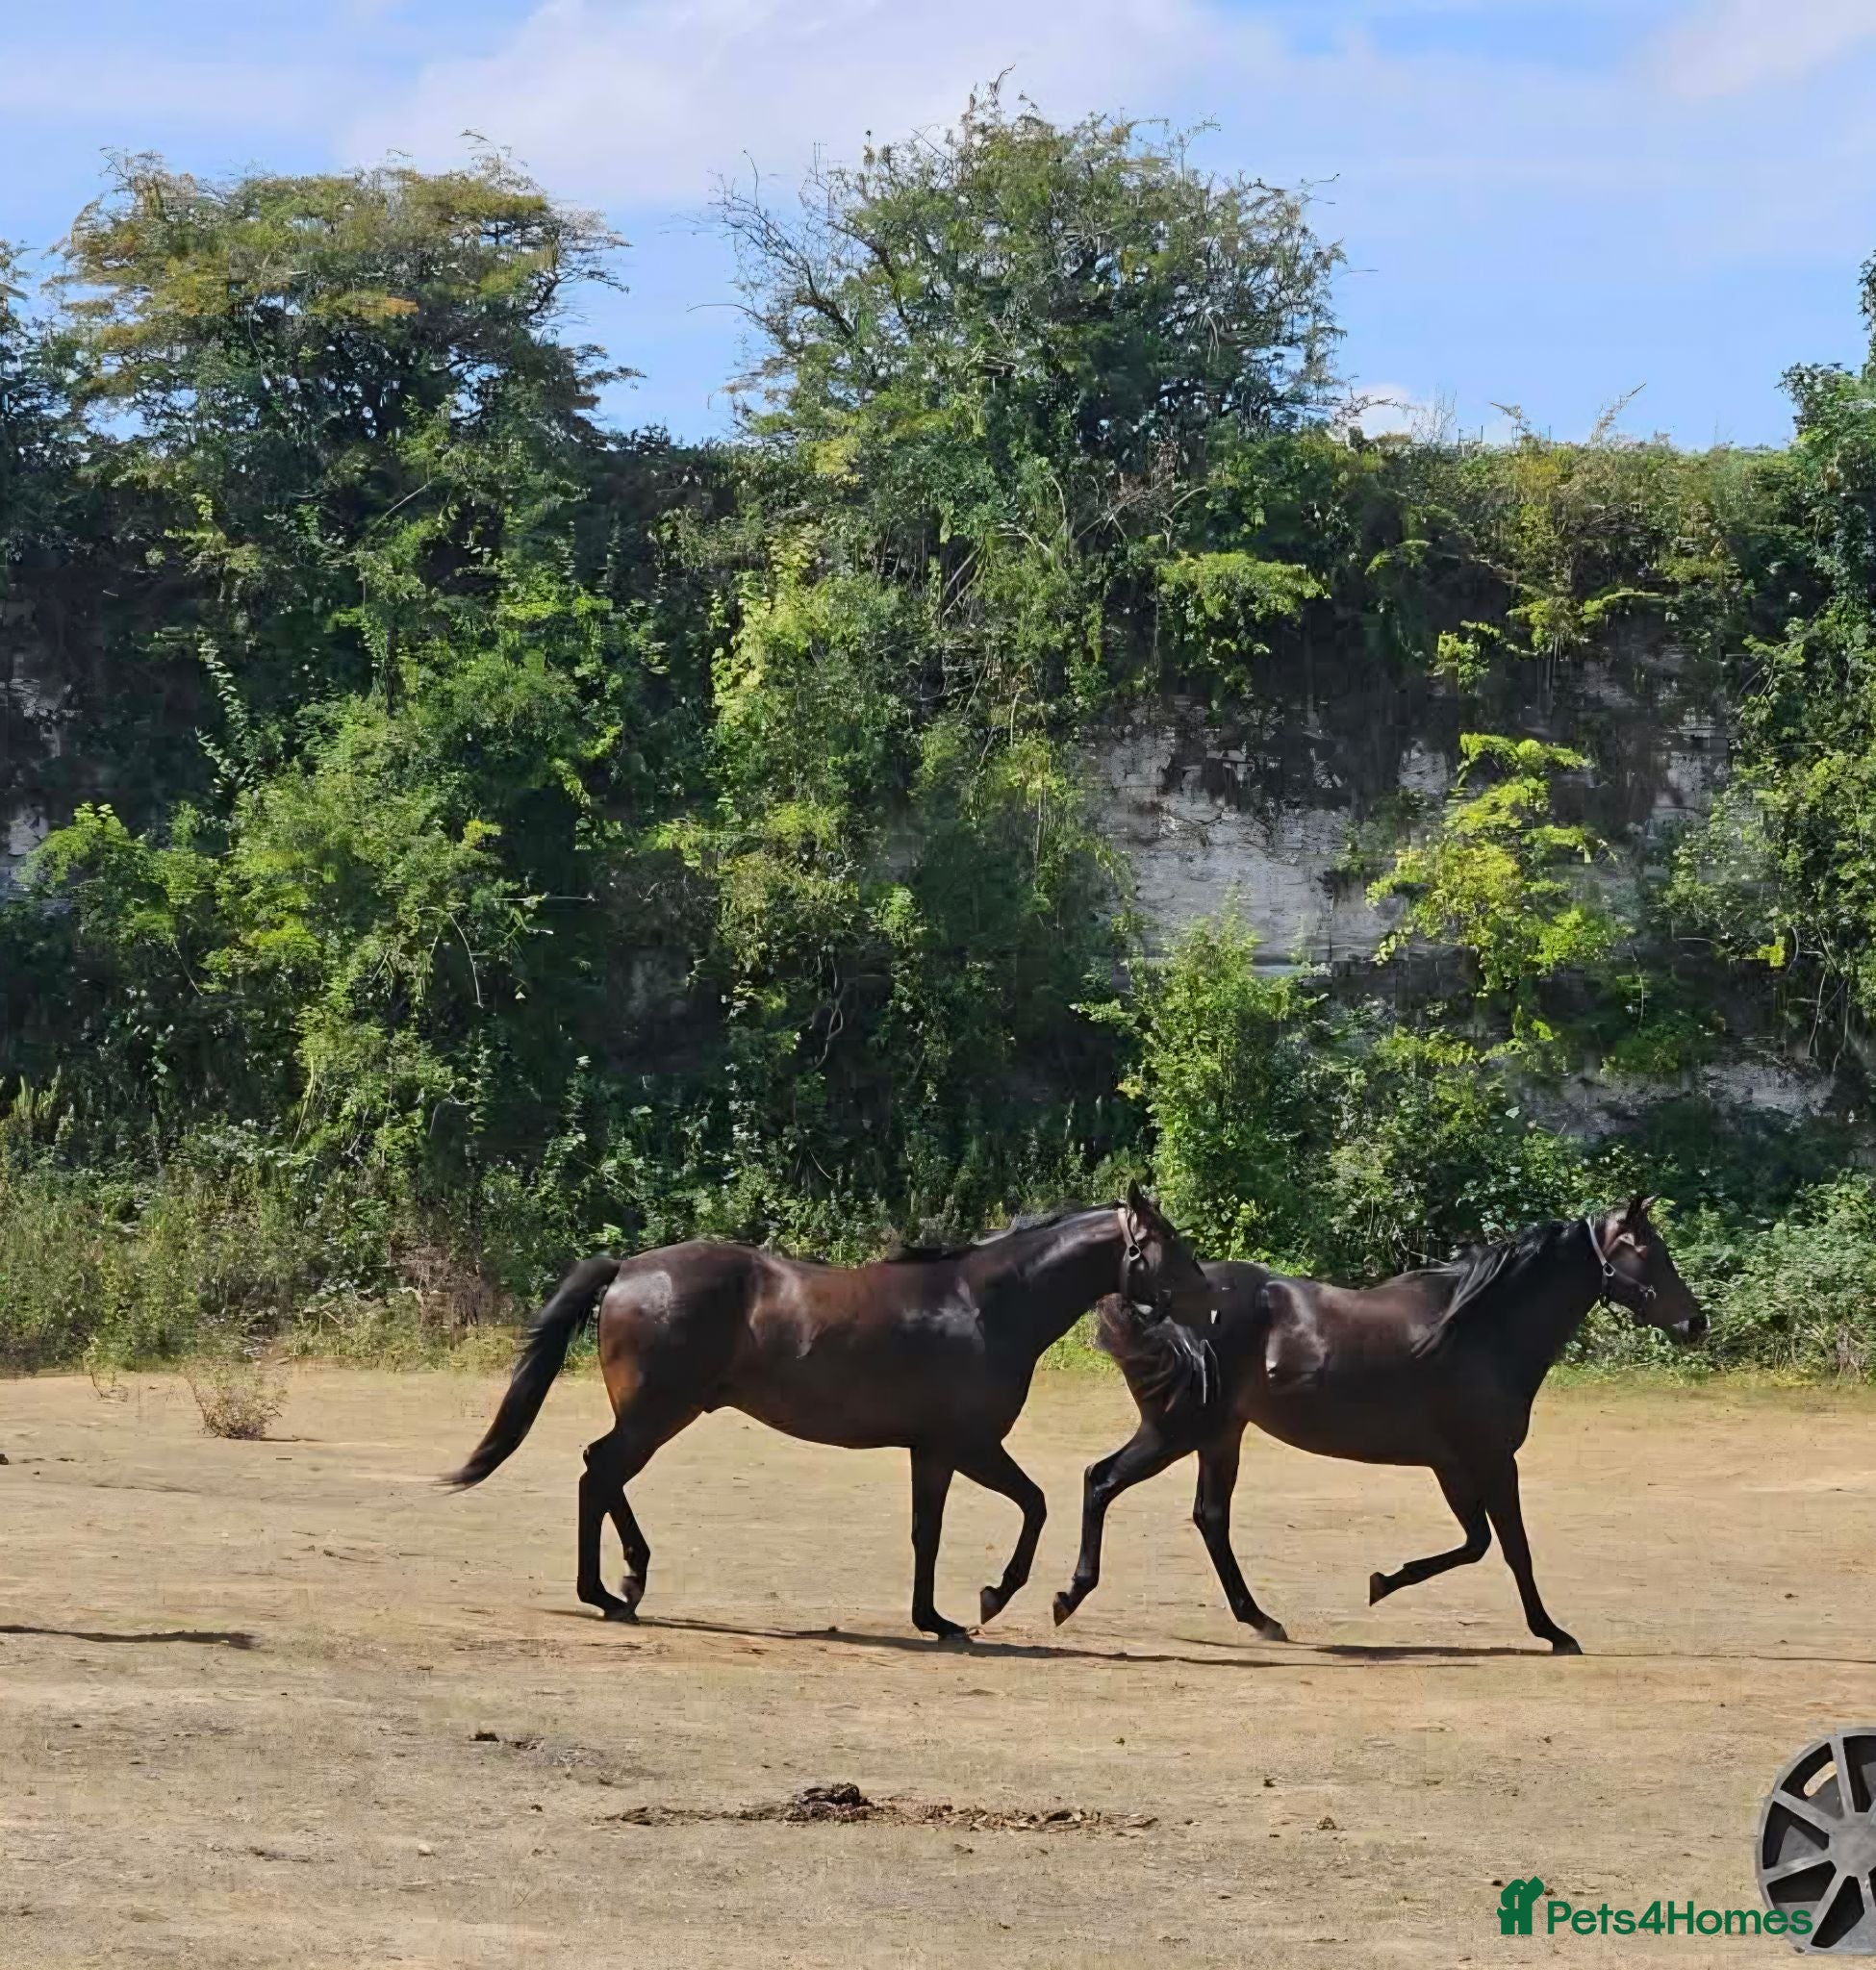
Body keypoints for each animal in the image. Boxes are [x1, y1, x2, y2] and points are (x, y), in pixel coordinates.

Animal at [448, 1183, 1214, 1639]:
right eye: (1166, 1243)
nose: (1209, 1295)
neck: (984, 1305)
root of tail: (628, 1269)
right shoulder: (966, 1445)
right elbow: (1033, 1505)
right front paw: (994, 1597)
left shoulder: (933, 1452)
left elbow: (928, 1533)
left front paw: (935, 1617)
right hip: (657, 1414)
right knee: (599, 1473)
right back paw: (610, 1591)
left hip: (659, 1414)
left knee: (600, 1474)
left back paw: (627, 1580)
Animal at [1050, 1196, 1706, 1654]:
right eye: (1648, 1251)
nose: (1695, 1323)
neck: (1481, 1330)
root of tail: (1166, 1308)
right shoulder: (1492, 1459)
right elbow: (1513, 1548)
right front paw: (1553, 1632)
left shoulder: (1453, 1465)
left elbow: (1476, 1543)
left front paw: (1383, 1581)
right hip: (1176, 1431)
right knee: (1101, 1480)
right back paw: (1069, 1595)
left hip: (1220, 1436)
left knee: (1210, 1518)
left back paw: (1261, 1619)